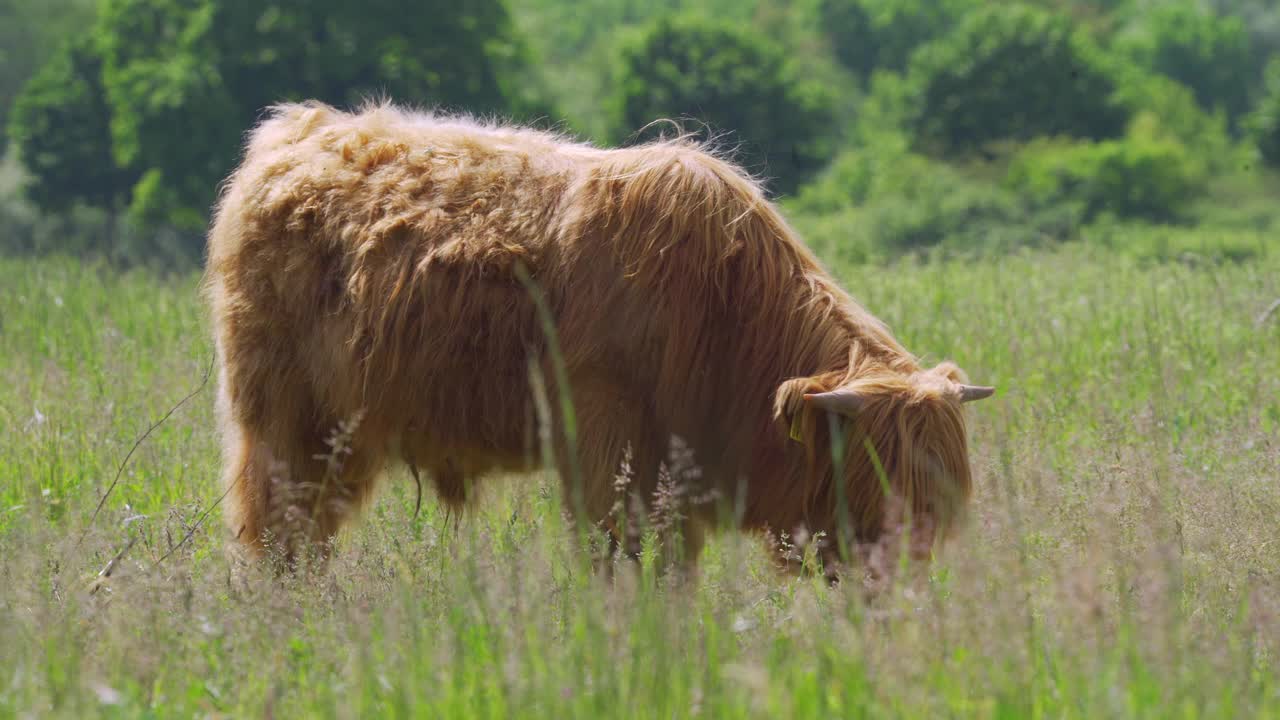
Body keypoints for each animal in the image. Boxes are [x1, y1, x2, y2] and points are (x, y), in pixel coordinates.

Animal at [202, 98, 998, 573]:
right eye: (883, 473)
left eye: (945, 487)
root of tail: (298, 129)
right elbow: (621, 552)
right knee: (279, 523)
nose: (906, 573)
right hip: (285, 417)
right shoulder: (606, 438)